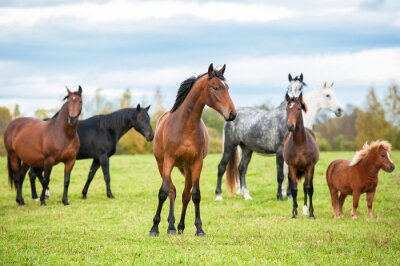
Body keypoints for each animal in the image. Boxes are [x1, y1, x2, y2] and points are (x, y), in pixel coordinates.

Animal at [148, 64, 236, 237]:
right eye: (215, 87)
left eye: (227, 87)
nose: (232, 113)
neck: (185, 127)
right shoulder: (168, 161)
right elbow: (163, 192)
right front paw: (154, 228)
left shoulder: (197, 163)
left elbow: (195, 195)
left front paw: (199, 228)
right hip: (161, 164)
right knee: (172, 191)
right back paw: (170, 226)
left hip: (187, 168)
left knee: (184, 195)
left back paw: (179, 226)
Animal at [214, 74, 342, 201]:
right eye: (327, 95)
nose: (340, 110)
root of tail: (232, 115)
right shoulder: (280, 152)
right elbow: (281, 175)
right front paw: (280, 196)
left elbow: (289, 175)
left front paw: (289, 195)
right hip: (230, 146)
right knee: (222, 167)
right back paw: (219, 195)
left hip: (247, 149)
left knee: (241, 169)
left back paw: (246, 195)